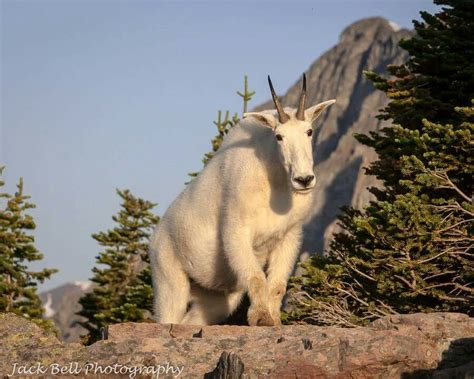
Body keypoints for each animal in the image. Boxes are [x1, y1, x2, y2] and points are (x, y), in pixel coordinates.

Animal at [150, 75, 336, 326]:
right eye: (279, 136)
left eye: (309, 131)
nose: (304, 179)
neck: (275, 182)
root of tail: (155, 237)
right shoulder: (236, 230)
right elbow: (256, 278)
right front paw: (261, 318)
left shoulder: (289, 236)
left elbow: (278, 285)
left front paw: (275, 321)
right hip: (168, 275)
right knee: (168, 312)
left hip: (217, 295)